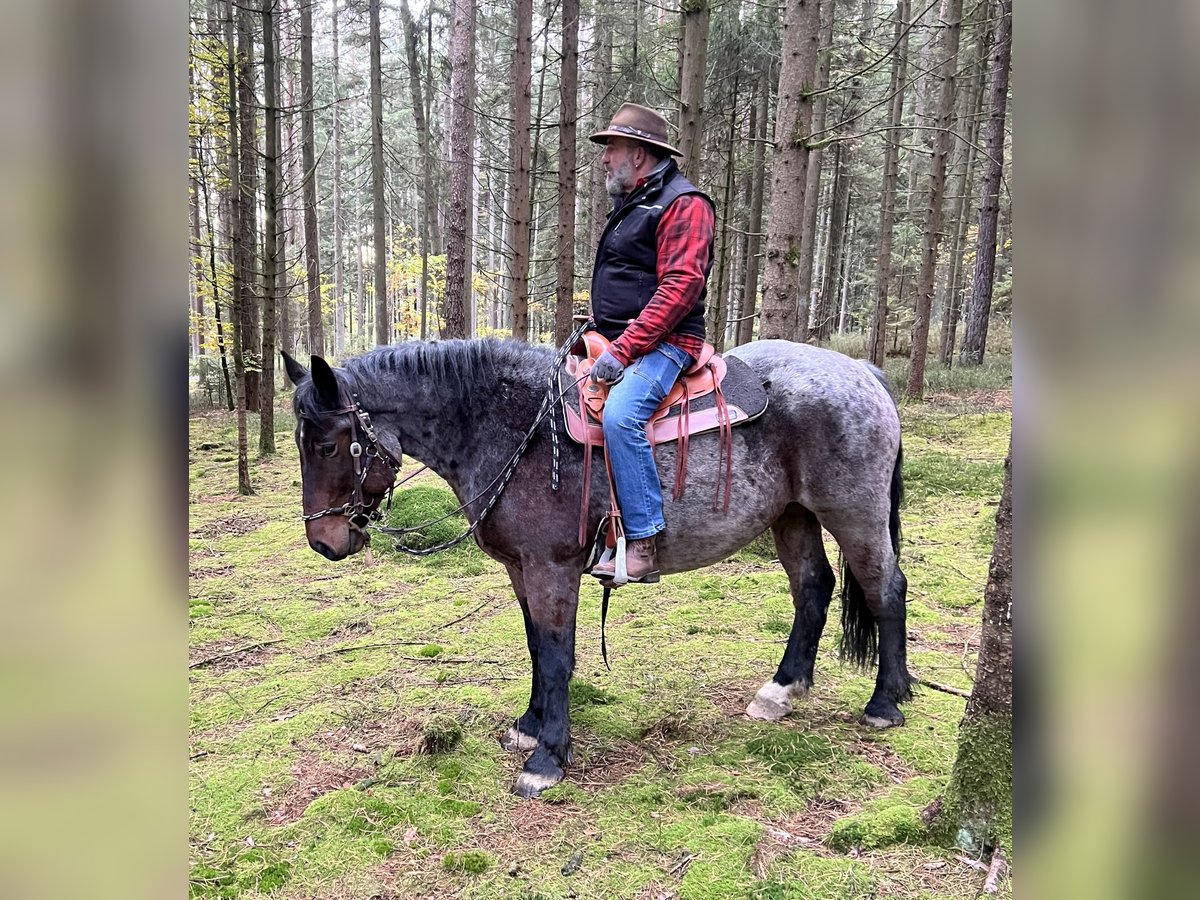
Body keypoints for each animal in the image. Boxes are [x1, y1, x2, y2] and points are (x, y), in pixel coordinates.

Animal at [282, 337, 911, 798]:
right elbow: (537, 647)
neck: (512, 428)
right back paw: (782, 689)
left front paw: (547, 758)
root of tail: (860, 370)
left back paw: (885, 703)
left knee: (886, 588)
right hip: (793, 516)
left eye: (331, 446)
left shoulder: (551, 568)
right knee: (813, 588)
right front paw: (529, 725)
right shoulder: (521, 570)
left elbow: (558, 656)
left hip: (852, 513)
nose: (323, 541)